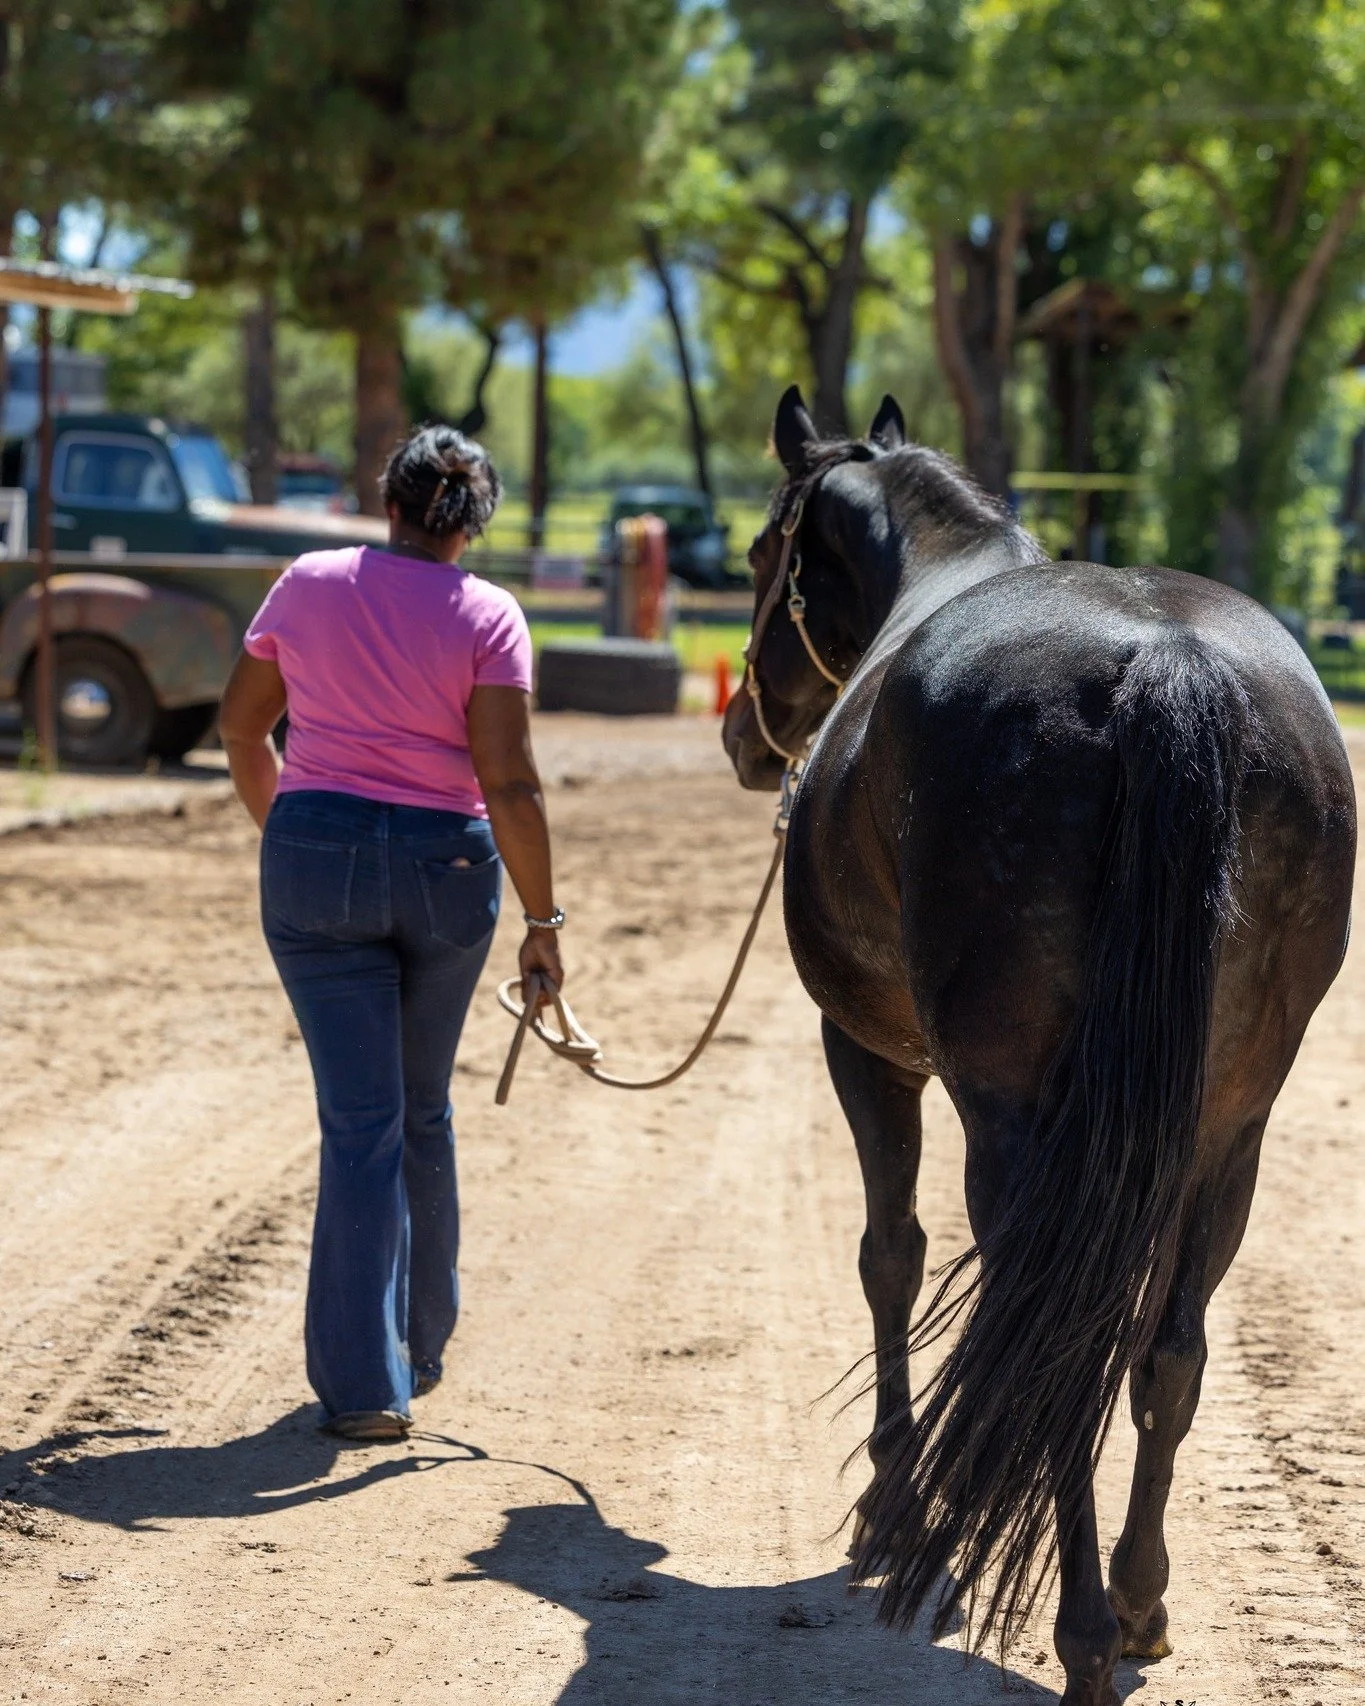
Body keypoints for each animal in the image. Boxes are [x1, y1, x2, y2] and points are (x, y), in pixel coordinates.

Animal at [722, 385, 1356, 1704]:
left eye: (762, 552)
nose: (742, 738)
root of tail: (1166, 662)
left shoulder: (866, 1053)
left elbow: (891, 1256)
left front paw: (894, 1506)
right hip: (1227, 1132)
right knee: (1166, 1354)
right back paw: (1139, 1602)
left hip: (1018, 1123)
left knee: (1058, 1350)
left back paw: (1080, 1636)